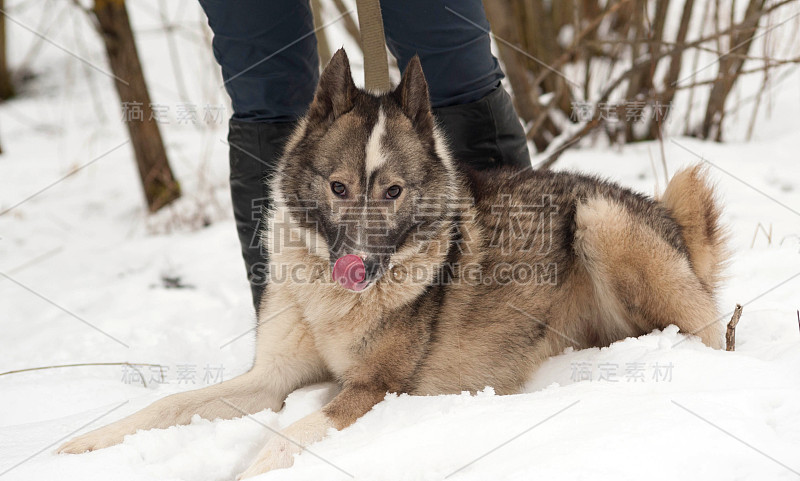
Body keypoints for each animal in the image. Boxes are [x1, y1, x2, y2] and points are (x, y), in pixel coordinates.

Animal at [61, 48, 724, 476]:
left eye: (394, 192)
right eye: (338, 187)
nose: (355, 267)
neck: (329, 301)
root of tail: (668, 216)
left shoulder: (373, 388)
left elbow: (291, 435)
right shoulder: (270, 379)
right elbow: (167, 405)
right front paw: (85, 444)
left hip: (600, 220)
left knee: (712, 335)